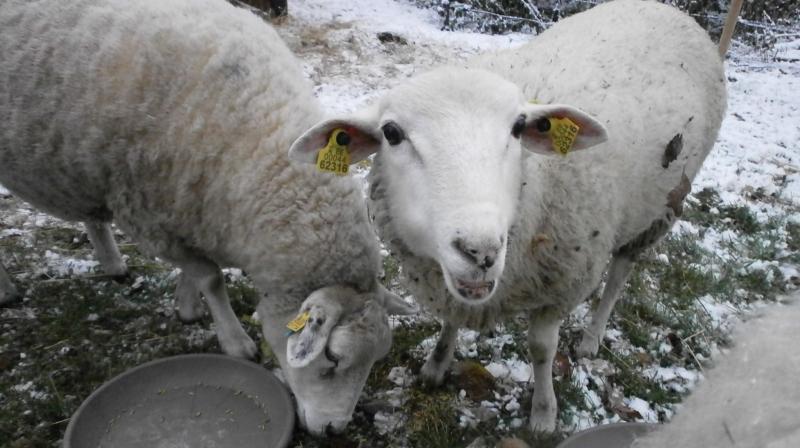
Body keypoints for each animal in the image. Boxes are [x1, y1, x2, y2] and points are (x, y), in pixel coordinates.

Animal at [0, 0, 418, 434]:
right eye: (333, 358)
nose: (335, 429)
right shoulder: (149, 215)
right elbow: (212, 278)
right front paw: (234, 341)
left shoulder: (193, 210)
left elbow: (196, 271)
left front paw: (186, 305)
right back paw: (7, 289)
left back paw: (112, 264)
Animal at [290, 0, 728, 434]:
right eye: (392, 134)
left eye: (519, 127)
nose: (480, 251)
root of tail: (664, 7)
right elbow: (451, 320)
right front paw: (435, 366)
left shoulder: (562, 285)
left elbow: (542, 348)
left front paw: (544, 414)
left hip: (660, 206)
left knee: (620, 271)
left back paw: (592, 337)